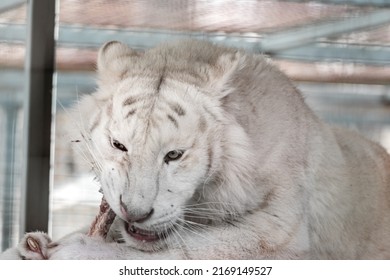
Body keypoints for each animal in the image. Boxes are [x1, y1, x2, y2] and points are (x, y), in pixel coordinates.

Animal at [2, 38, 390, 260]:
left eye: (174, 155)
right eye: (119, 145)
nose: (134, 213)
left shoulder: (278, 233)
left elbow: (174, 252)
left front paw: (79, 253)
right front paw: (31, 245)